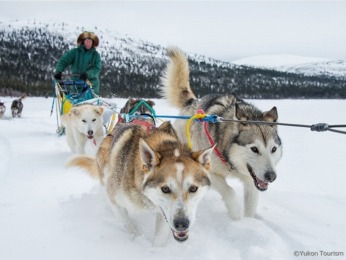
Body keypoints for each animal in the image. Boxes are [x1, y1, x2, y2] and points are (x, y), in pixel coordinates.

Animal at [66, 121, 215, 246]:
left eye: (193, 188)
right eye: (165, 189)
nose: (182, 224)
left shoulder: (163, 212)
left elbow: (160, 236)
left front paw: (156, 250)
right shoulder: (115, 200)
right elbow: (130, 226)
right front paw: (136, 239)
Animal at [161, 47, 282, 219]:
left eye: (273, 149)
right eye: (254, 149)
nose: (271, 176)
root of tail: (193, 102)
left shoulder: (251, 180)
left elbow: (251, 205)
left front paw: (248, 221)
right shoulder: (210, 172)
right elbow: (229, 192)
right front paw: (236, 214)